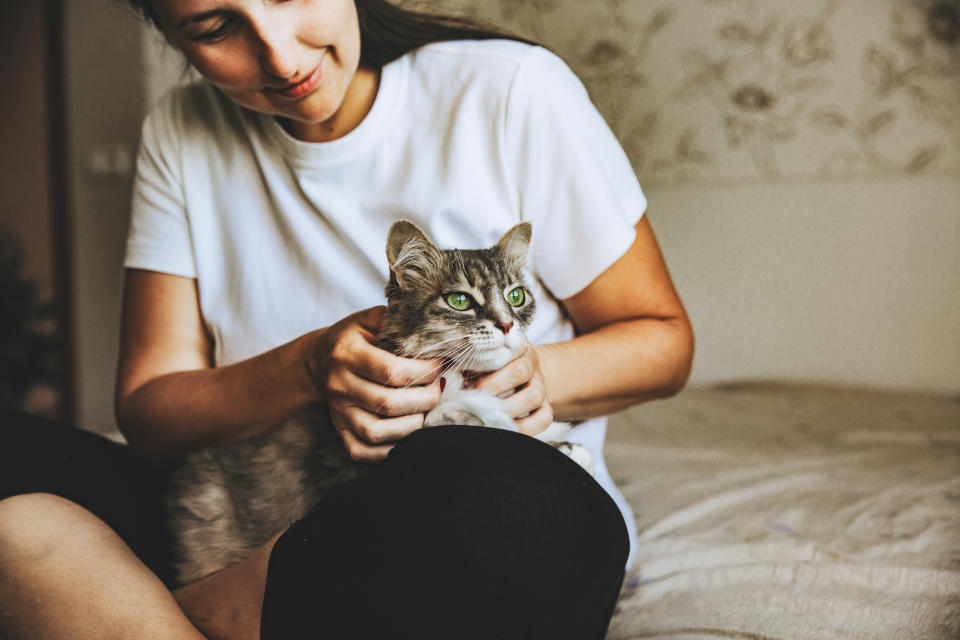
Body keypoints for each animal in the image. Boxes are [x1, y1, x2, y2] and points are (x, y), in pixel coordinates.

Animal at [165, 219, 588, 584]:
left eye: (516, 296)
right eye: (459, 301)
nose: (507, 324)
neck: (462, 379)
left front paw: (567, 446)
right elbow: (458, 420)